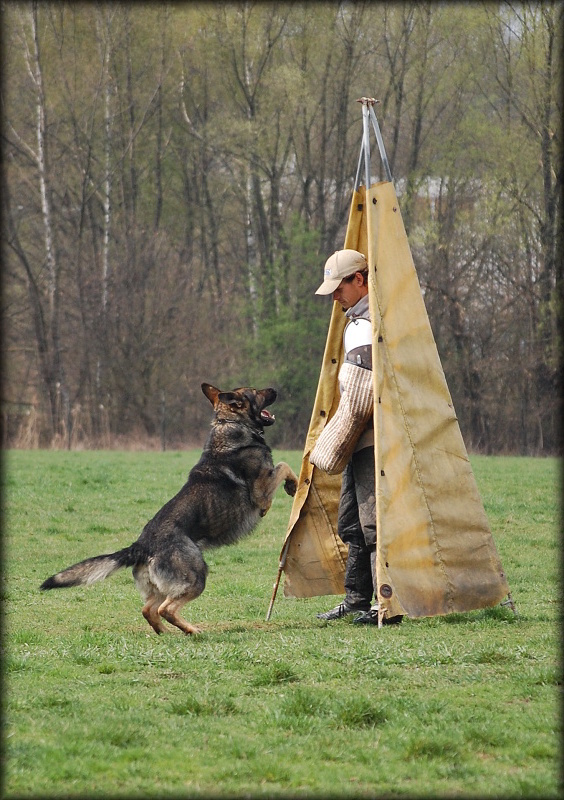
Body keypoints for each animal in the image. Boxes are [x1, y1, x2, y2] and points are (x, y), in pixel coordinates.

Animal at [40, 384, 300, 636]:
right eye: (256, 392)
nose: (275, 389)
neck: (231, 424)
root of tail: (141, 546)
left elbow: (284, 466)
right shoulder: (261, 489)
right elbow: (284, 466)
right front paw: (293, 486)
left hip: (162, 587)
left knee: (148, 609)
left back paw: (167, 633)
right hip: (196, 576)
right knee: (166, 609)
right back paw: (193, 631)